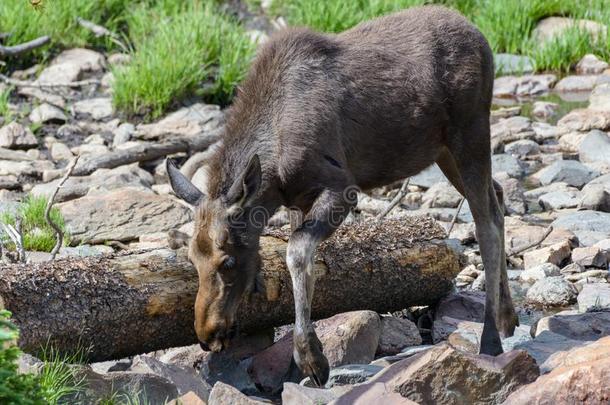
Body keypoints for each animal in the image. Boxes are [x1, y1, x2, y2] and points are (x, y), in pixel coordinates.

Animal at [167, 6, 516, 386]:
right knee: (497, 198)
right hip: (442, 150)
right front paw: (298, 365)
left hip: (470, 131)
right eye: (191, 260)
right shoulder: (298, 199)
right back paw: (507, 316)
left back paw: (491, 339)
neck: (274, 172)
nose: (207, 334)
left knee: (485, 223)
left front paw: (311, 358)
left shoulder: (342, 187)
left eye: (227, 262)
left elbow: (296, 252)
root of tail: (481, 37)